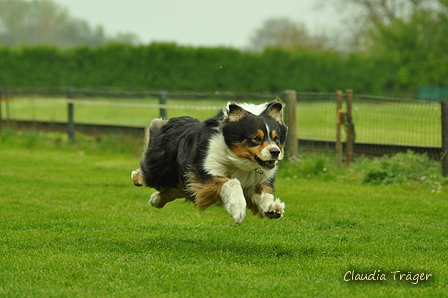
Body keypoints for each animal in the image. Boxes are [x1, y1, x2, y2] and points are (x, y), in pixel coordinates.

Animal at [131, 100, 288, 224]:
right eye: (256, 138)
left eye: (276, 138)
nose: (275, 152)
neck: (238, 160)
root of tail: (173, 120)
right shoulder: (204, 171)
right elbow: (232, 182)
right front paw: (238, 211)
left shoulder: (255, 180)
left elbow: (264, 193)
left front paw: (272, 208)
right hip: (160, 170)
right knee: (148, 175)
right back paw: (136, 178)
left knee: (176, 190)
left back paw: (155, 200)